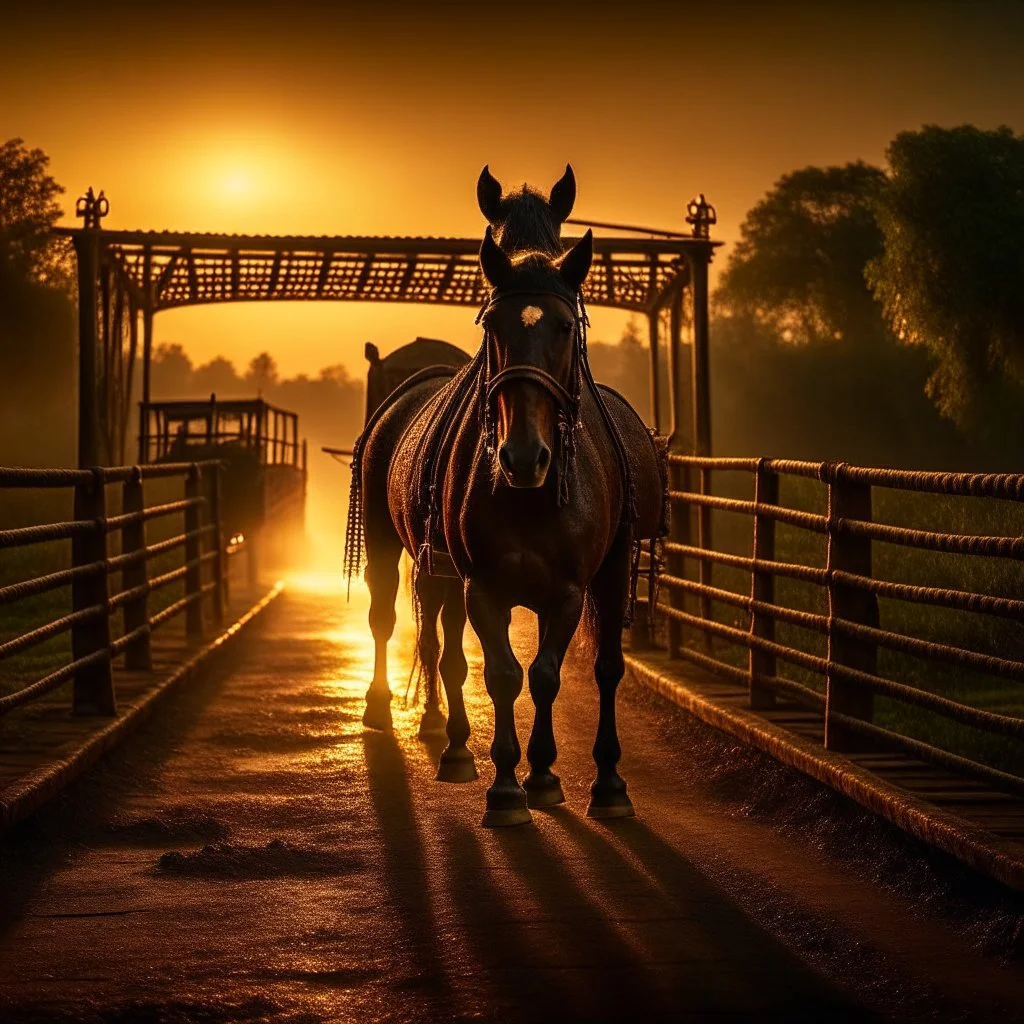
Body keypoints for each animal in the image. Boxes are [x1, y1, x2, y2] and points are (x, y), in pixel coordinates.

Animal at [346, 216, 663, 823]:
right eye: (494, 325)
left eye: (565, 327)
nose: (521, 456)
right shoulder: (482, 587)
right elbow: (499, 673)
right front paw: (506, 784)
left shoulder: (566, 591)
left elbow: (545, 674)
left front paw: (548, 774)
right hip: (387, 546)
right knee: (387, 618)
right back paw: (393, 713)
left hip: (606, 573)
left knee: (604, 665)